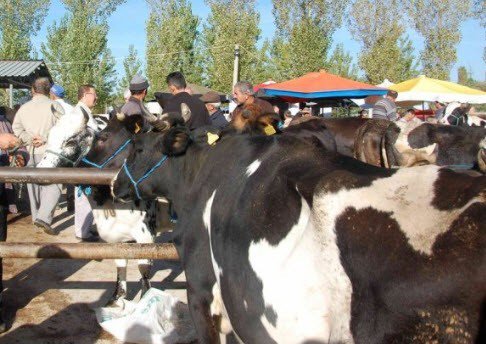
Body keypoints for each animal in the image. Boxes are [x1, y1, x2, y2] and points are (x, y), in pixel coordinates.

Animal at [38, 111, 163, 306]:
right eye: (49, 136)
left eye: (71, 141)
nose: (41, 170)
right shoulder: (117, 237)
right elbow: (120, 263)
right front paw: (117, 297)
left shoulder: (146, 234)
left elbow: (144, 269)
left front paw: (145, 299)